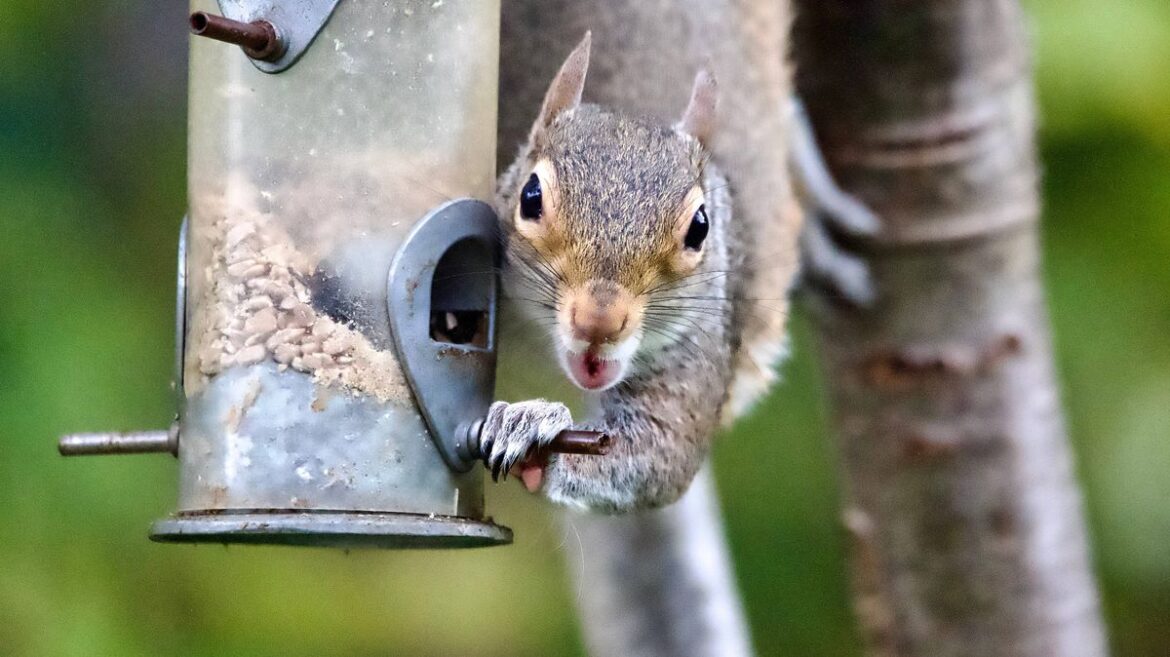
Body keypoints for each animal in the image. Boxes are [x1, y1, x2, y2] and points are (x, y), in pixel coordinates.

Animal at [480, 3, 875, 514]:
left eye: (700, 227)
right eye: (530, 197)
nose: (598, 322)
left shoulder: (701, 340)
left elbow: (657, 452)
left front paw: (533, 425)